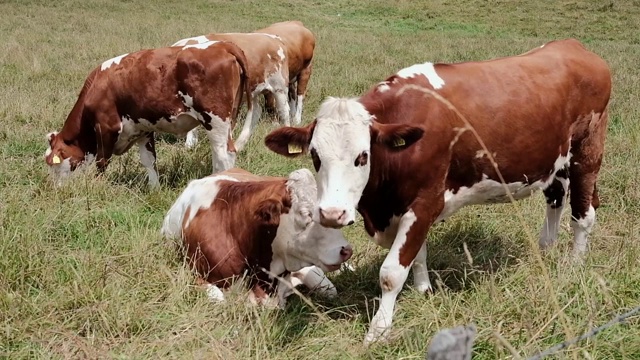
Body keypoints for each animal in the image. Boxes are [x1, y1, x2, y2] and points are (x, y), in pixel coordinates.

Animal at [43, 40, 250, 187]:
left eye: (54, 163)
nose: (57, 189)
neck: (98, 85)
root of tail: (222, 45)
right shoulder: (142, 128)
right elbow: (149, 160)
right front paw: (154, 189)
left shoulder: (106, 127)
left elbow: (102, 162)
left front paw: (97, 185)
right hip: (226, 121)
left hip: (214, 119)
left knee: (224, 155)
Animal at [174, 19, 316, 150]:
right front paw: (190, 143)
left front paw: (189, 143)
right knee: (287, 99)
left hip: (300, 74)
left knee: (296, 99)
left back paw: (295, 121)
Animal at [264, 38, 608, 344]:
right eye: (315, 155)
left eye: (362, 156)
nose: (331, 214)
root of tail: (574, 47)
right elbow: (418, 254)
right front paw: (423, 290)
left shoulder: (425, 201)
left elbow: (391, 272)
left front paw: (379, 331)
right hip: (555, 160)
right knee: (555, 198)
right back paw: (546, 248)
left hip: (587, 151)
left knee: (583, 213)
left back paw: (575, 263)